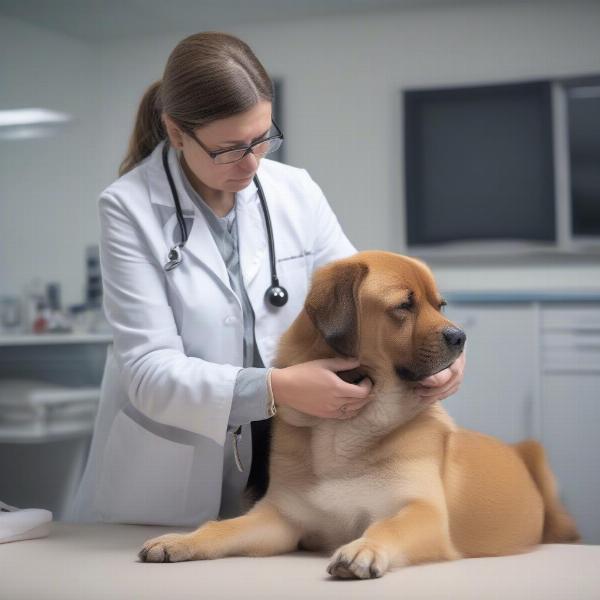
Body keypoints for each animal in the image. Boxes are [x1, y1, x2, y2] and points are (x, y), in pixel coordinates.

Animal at [138, 252, 580, 576]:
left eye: (439, 305)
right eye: (405, 305)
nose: (460, 337)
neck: (346, 430)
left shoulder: (422, 512)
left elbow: (388, 525)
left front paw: (365, 548)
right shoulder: (280, 519)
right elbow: (224, 528)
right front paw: (181, 540)